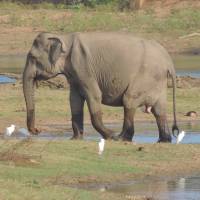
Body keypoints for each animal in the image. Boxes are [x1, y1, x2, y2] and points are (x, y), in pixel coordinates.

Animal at [22, 32, 179, 142]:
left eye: (33, 58)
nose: (37, 131)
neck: (65, 38)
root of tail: (169, 61)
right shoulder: (75, 75)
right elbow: (74, 100)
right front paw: (75, 139)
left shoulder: (84, 68)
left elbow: (94, 95)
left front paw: (111, 136)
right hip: (157, 82)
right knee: (159, 110)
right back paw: (164, 140)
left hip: (146, 76)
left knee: (129, 101)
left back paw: (121, 138)